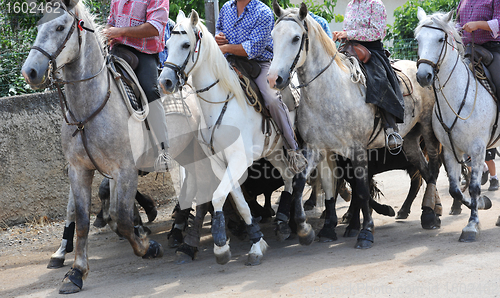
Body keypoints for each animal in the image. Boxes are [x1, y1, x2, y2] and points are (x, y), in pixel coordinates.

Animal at [158, 10, 318, 264]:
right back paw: (283, 222)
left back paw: (300, 225)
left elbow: (218, 197)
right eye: (167, 44)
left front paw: (221, 246)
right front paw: (256, 242)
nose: (165, 82)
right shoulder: (219, 162)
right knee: (288, 176)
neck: (219, 104)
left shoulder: (238, 160)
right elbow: (239, 202)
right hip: (273, 151)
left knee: (303, 175)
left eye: (186, 44)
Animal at [270, 2, 442, 249]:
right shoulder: (317, 148)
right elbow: (303, 183)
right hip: (409, 139)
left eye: (295, 38)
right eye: (273, 36)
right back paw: (429, 213)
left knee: (434, 168)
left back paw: (433, 212)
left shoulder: (357, 149)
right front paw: (306, 230)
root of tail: (422, 70)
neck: (329, 92)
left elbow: (361, 190)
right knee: (425, 171)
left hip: (428, 129)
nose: (274, 79)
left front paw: (365, 232)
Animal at [416, 8, 494, 242]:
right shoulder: (450, 151)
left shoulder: (477, 150)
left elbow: (475, 187)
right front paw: (482, 204)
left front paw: (472, 225)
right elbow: (455, 189)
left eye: (440, 39)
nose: (423, 76)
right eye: (418, 39)